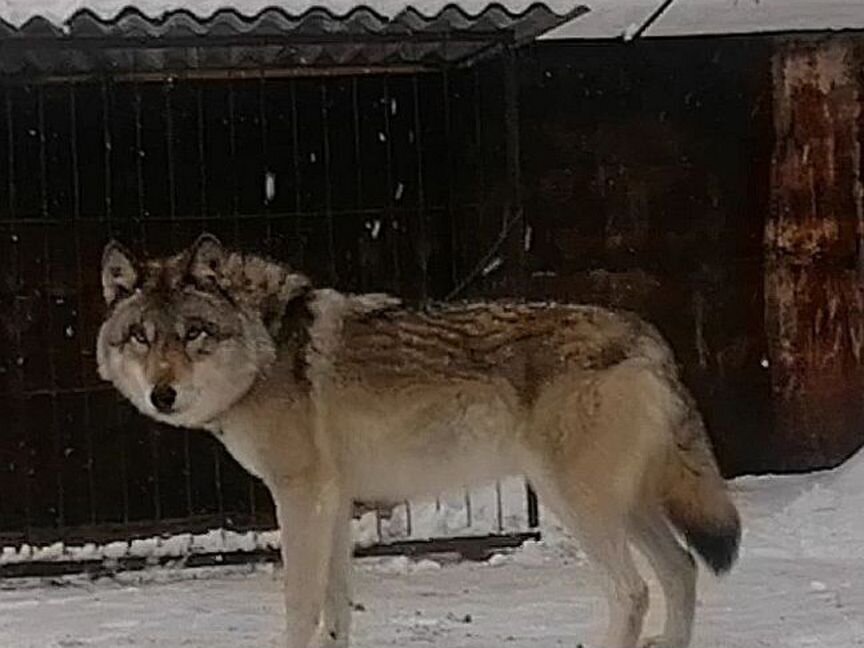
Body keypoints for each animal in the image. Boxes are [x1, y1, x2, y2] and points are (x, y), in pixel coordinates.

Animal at [98, 234, 740, 648]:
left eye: (194, 334)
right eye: (141, 337)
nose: (162, 394)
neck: (266, 350)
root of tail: (648, 337)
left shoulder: (300, 497)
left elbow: (300, 605)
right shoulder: (333, 504)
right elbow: (337, 611)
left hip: (578, 504)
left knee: (633, 591)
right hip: (625, 506)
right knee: (682, 569)